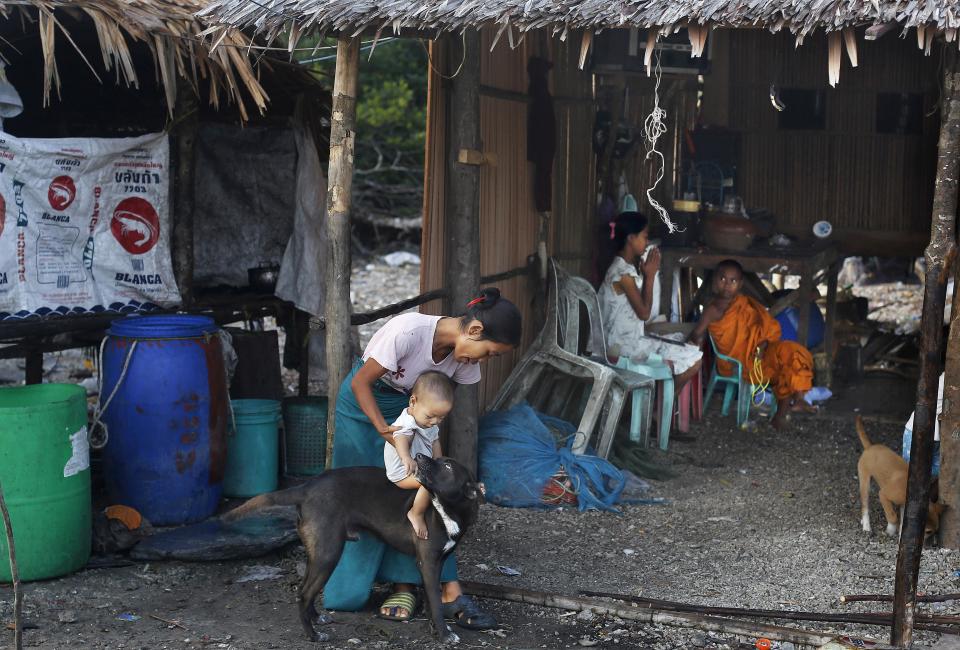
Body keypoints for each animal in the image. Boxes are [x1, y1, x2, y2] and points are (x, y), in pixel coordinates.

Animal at [223, 454, 480, 640]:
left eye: (447, 465)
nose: (417, 455)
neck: (446, 510)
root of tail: (307, 487)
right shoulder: (427, 563)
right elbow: (435, 602)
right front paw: (445, 635)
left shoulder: (435, 563)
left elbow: (430, 600)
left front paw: (435, 629)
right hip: (329, 554)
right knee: (305, 593)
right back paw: (313, 636)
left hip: (318, 552)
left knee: (304, 589)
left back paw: (316, 619)